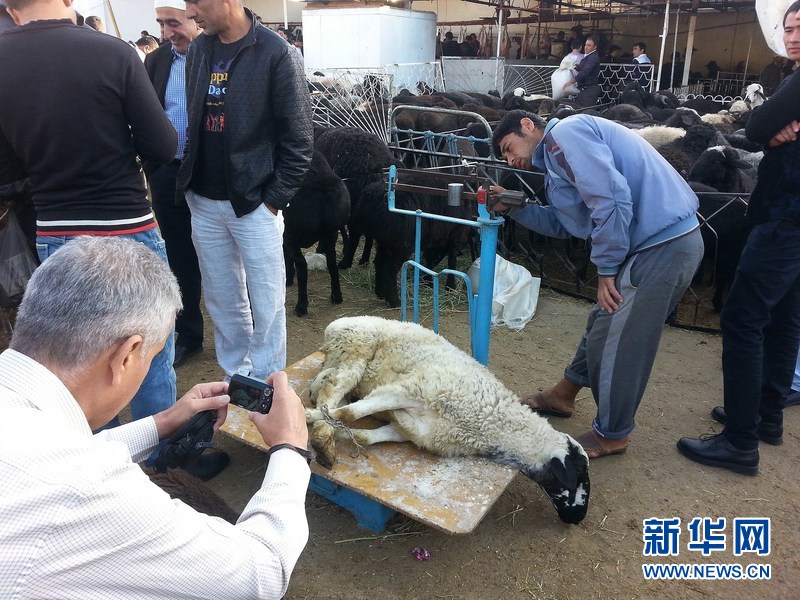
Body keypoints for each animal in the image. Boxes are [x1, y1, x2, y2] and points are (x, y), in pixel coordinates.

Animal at [284, 151, 351, 317]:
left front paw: (288, 278)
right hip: (331, 233)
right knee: (332, 261)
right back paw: (336, 296)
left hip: (291, 234)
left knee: (301, 265)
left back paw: (301, 306)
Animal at [305, 316, 591, 525]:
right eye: (578, 475)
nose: (577, 518)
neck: (484, 425)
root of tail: (335, 325)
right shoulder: (408, 390)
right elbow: (349, 414)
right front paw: (317, 431)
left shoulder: (417, 431)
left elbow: (366, 434)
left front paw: (342, 434)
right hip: (355, 352)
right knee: (332, 394)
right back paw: (316, 426)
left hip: (343, 363)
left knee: (326, 388)